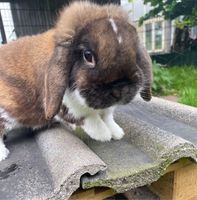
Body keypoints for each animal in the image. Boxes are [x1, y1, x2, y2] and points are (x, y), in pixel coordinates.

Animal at [0, 1, 152, 161]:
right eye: (88, 55)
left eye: (136, 54)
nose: (120, 89)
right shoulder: (66, 106)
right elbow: (88, 117)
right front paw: (103, 135)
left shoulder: (107, 108)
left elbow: (107, 116)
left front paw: (117, 132)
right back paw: (2, 155)